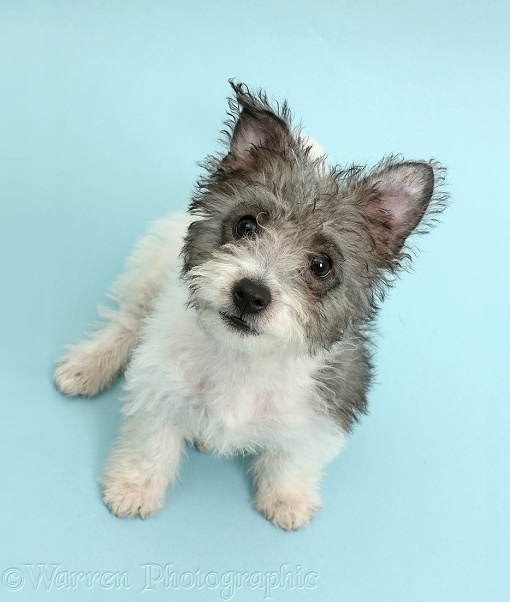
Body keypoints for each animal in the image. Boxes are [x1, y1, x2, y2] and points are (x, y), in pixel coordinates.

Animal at [53, 81, 446, 528]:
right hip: (151, 270)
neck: (243, 360)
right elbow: (151, 444)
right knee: (128, 320)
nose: (251, 293)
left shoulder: (325, 410)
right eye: (246, 225)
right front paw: (134, 486)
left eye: (322, 265)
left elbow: (293, 460)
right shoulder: (157, 389)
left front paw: (288, 498)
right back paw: (88, 365)